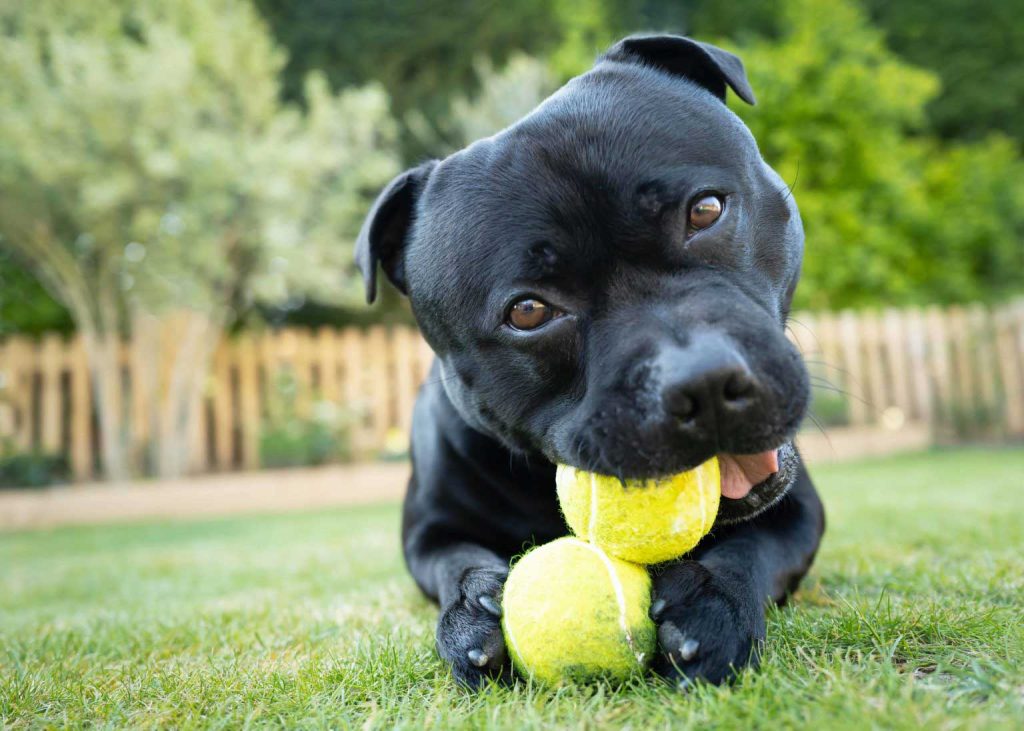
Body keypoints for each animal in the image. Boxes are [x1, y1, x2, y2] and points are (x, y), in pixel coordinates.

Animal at [356, 32, 827, 683]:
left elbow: (754, 546)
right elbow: (454, 559)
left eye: (705, 211)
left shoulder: (798, 508)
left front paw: (714, 600)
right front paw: (473, 607)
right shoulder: (429, 530)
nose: (704, 383)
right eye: (528, 311)